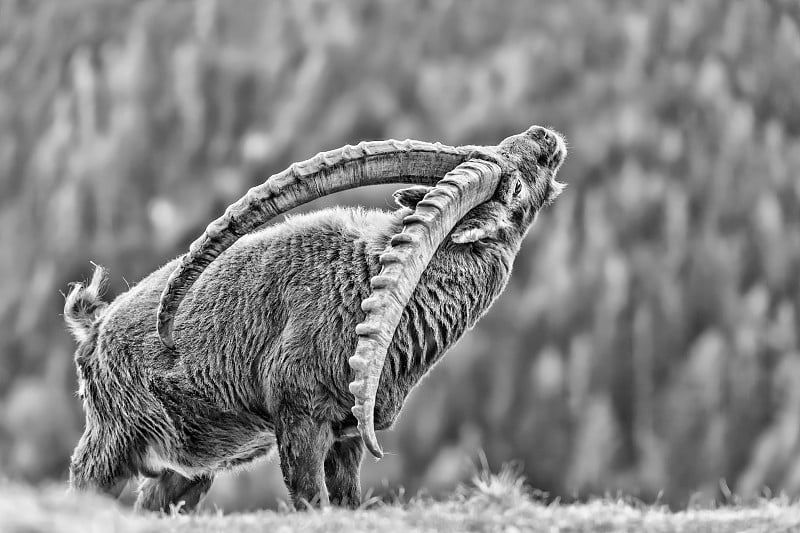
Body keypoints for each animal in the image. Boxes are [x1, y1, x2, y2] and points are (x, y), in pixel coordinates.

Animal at [65, 125, 564, 512]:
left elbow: (346, 501)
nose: (543, 135)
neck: (361, 288)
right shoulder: (299, 418)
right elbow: (310, 500)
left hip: (190, 468)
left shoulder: (346, 437)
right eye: (516, 187)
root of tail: (94, 328)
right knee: (85, 480)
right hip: (114, 440)